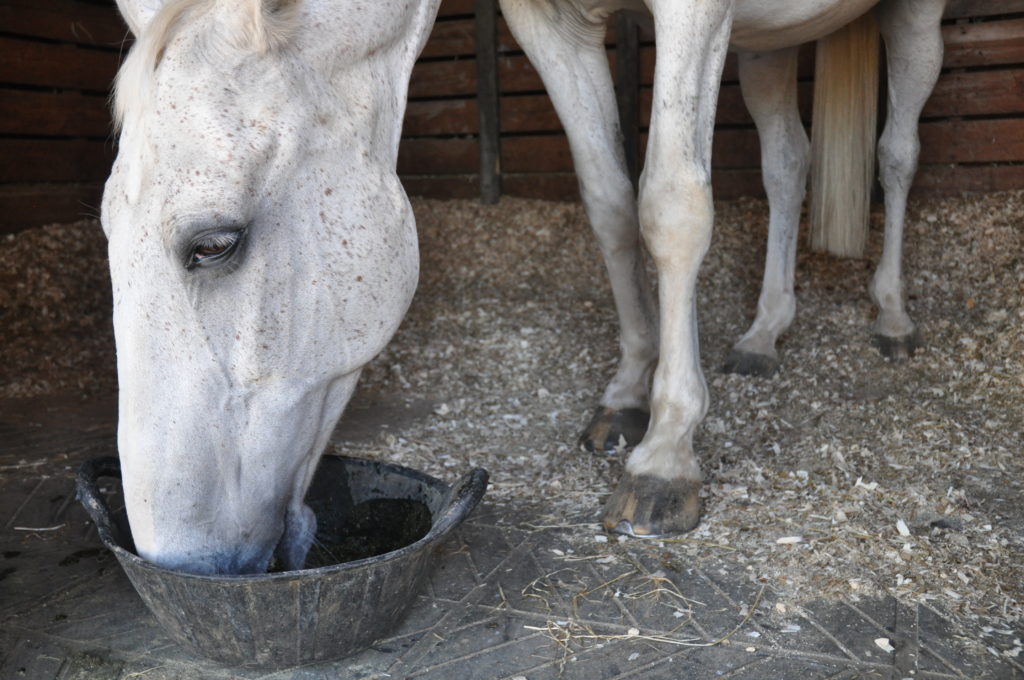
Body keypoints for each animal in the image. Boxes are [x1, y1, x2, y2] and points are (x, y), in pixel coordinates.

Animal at [103, 0, 942, 573]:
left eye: (215, 244)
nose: (177, 556)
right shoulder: (553, 23)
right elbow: (610, 200)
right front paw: (628, 395)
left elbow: (672, 206)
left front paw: (665, 455)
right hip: (770, 44)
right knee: (788, 164)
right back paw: (765, 333)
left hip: (913, 17)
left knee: (898, 152)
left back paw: (892, 319)